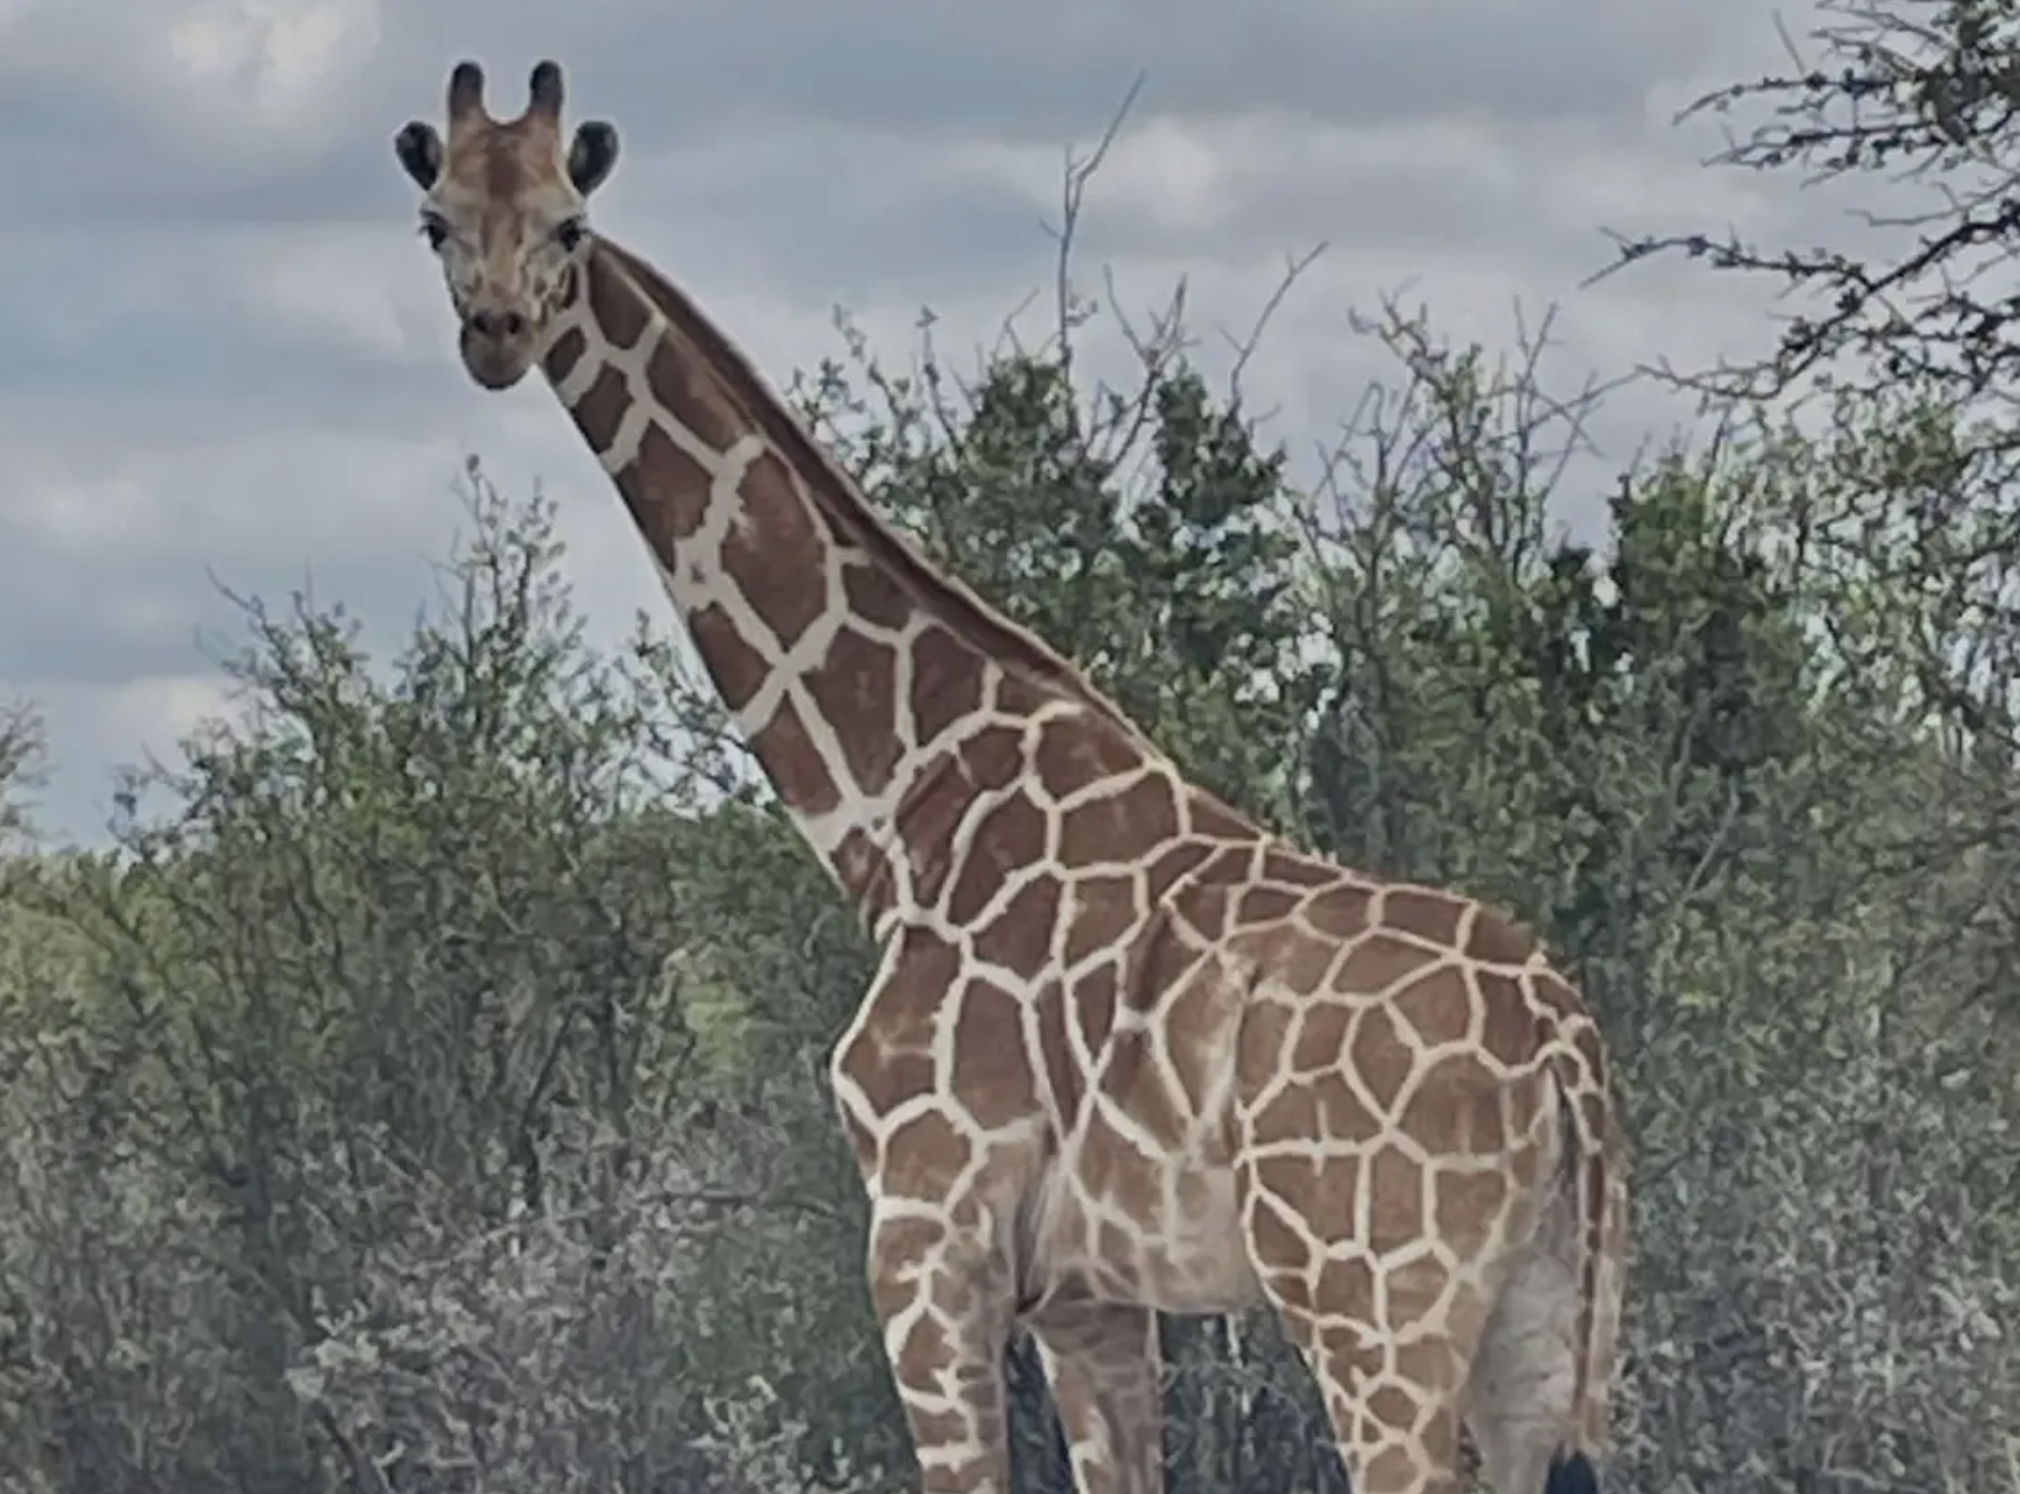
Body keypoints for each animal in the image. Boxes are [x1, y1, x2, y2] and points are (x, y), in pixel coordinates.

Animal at [391, 59, 1629, 1494]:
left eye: (570, 226)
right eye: (437, 219)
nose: (496, 332)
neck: (903, 806)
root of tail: (1564, 1044)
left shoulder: (927, 1231)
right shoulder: (1090, 1293)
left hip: (1373, 1301)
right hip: (1541, 1323)